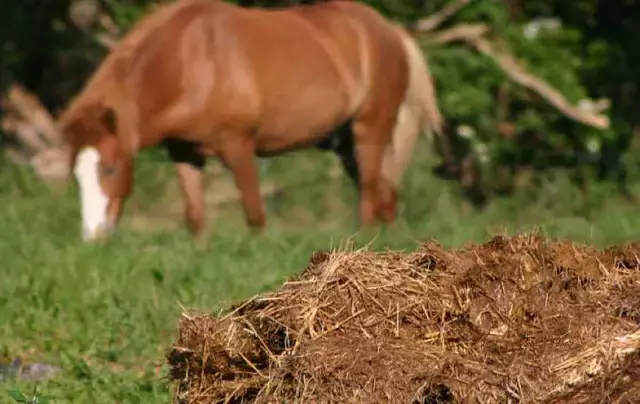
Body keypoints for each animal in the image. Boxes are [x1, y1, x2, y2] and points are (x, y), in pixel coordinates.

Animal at [60, 0, 442, 240]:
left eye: (109, 168)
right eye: (75, 174)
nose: (93, 236)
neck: (189, 61)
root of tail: (391, 30)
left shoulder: (238, 146)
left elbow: (255, 215)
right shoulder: (185, 153)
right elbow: (195, 219)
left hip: (370, 130)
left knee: (369, 195)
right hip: (344, 143)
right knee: (384, 195)